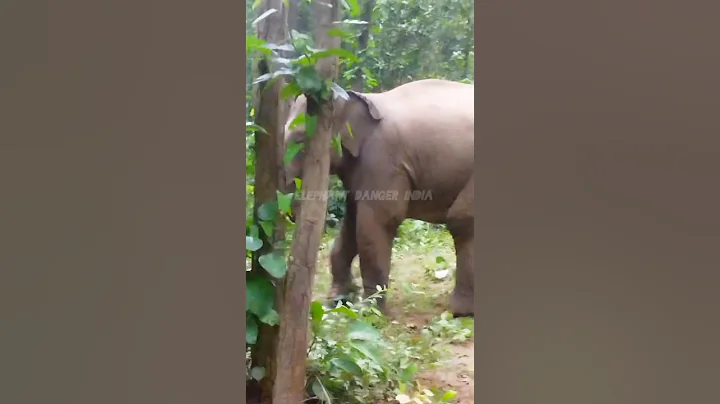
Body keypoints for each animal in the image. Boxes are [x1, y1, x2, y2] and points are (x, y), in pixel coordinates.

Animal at [282, 78, 474, 317]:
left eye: (300, 140)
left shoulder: (383, 159)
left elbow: (378, 222)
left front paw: (368, 311)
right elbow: (351, 224)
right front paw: (337, 300)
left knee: (462, 221)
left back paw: (461, 311)